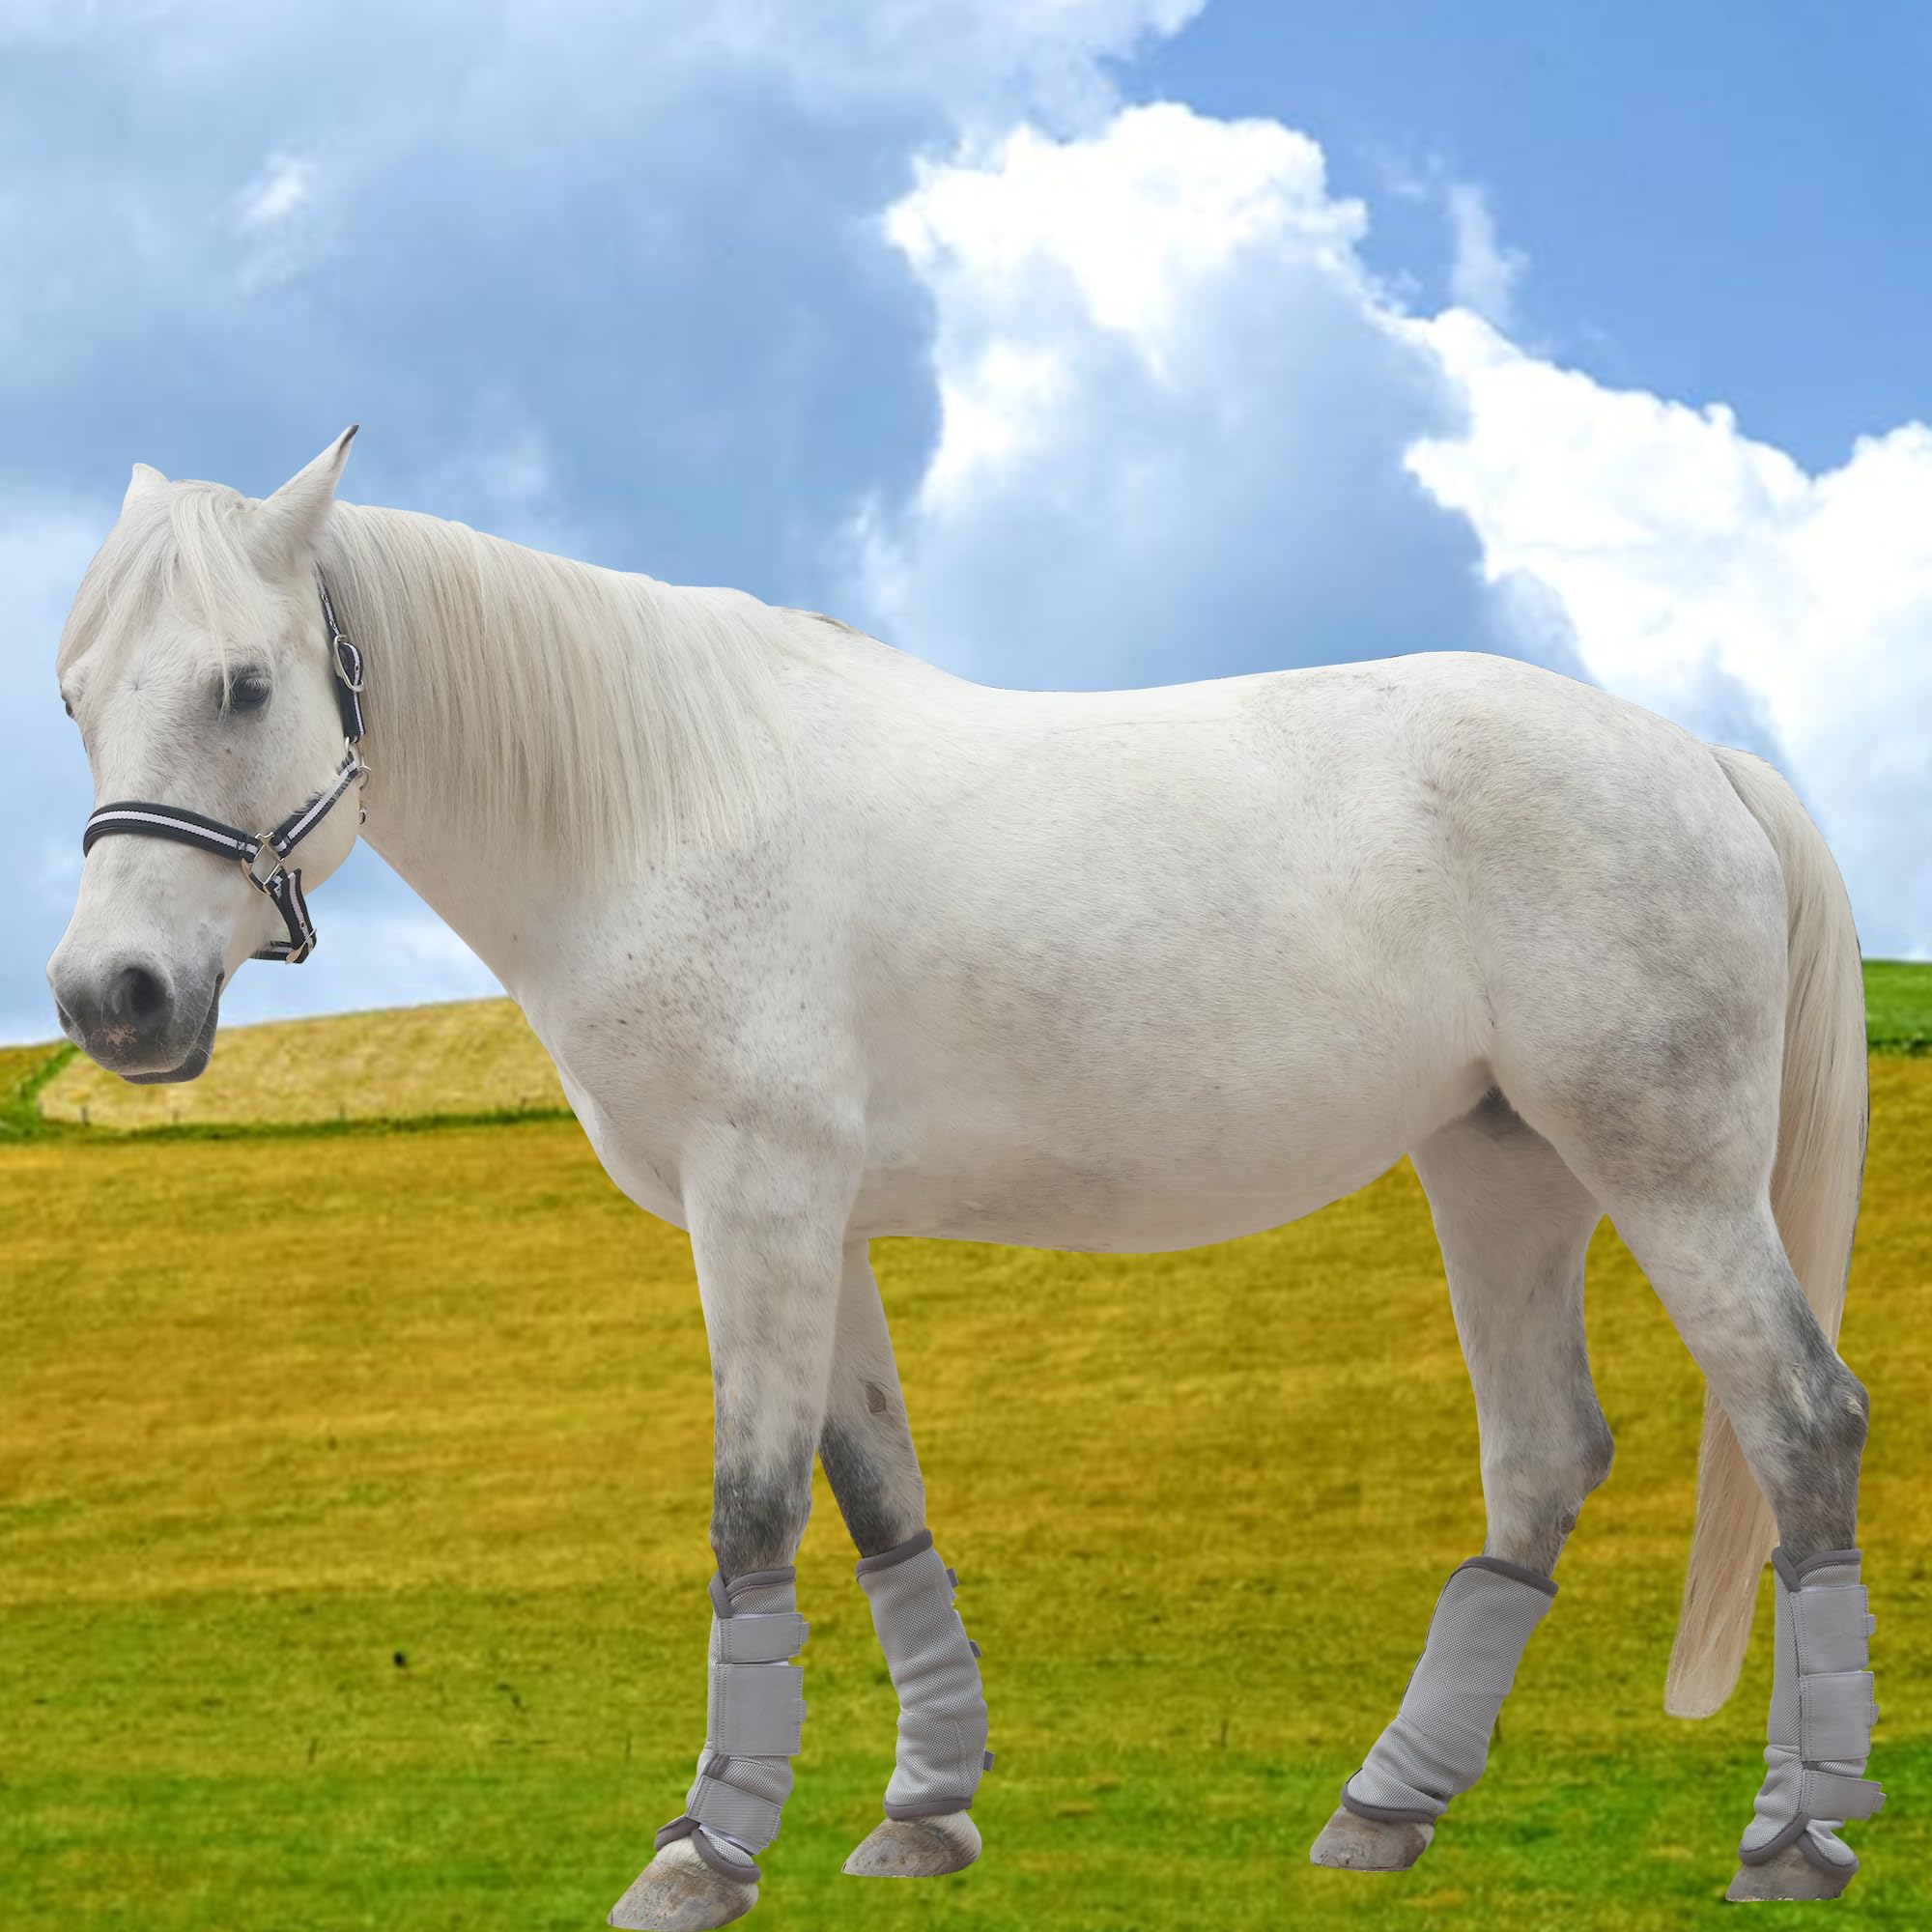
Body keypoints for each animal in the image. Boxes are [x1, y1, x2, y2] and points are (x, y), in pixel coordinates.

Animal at [46, 431, 1881, 1922]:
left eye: (244, 686)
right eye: (75, 696)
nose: (108, 1001)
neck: (658, 806)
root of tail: (1703, 761)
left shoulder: (759, 1208)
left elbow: (753, 1506)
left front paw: (705, 1853)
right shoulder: (822, 1224)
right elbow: (879, 1497)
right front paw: (922, 1817)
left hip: (1669, 1172)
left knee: (1803, 1424)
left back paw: (1794, 1841)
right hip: (1499, 1165)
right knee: (1545, 1455)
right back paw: (1384, 1812)